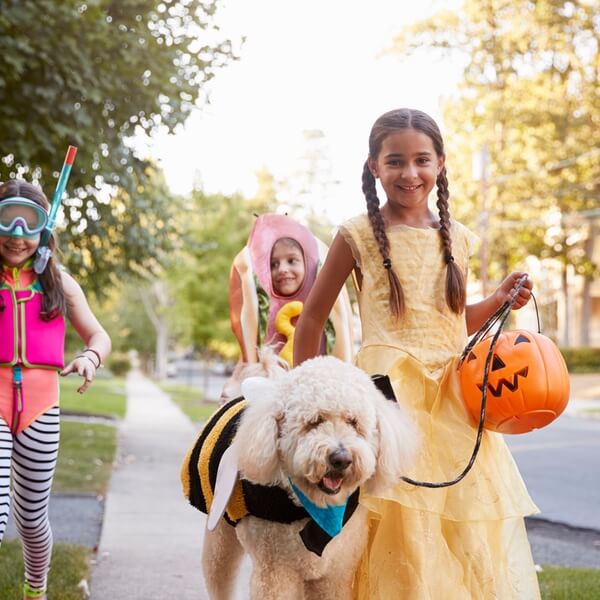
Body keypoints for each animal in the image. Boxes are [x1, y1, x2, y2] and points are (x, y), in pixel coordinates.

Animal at [202, 356, 418, 600]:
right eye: (314, 421)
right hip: (220, 537)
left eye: (353, 422)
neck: (313, 509)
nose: (341, 459)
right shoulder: (276, 572)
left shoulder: (336, 574)